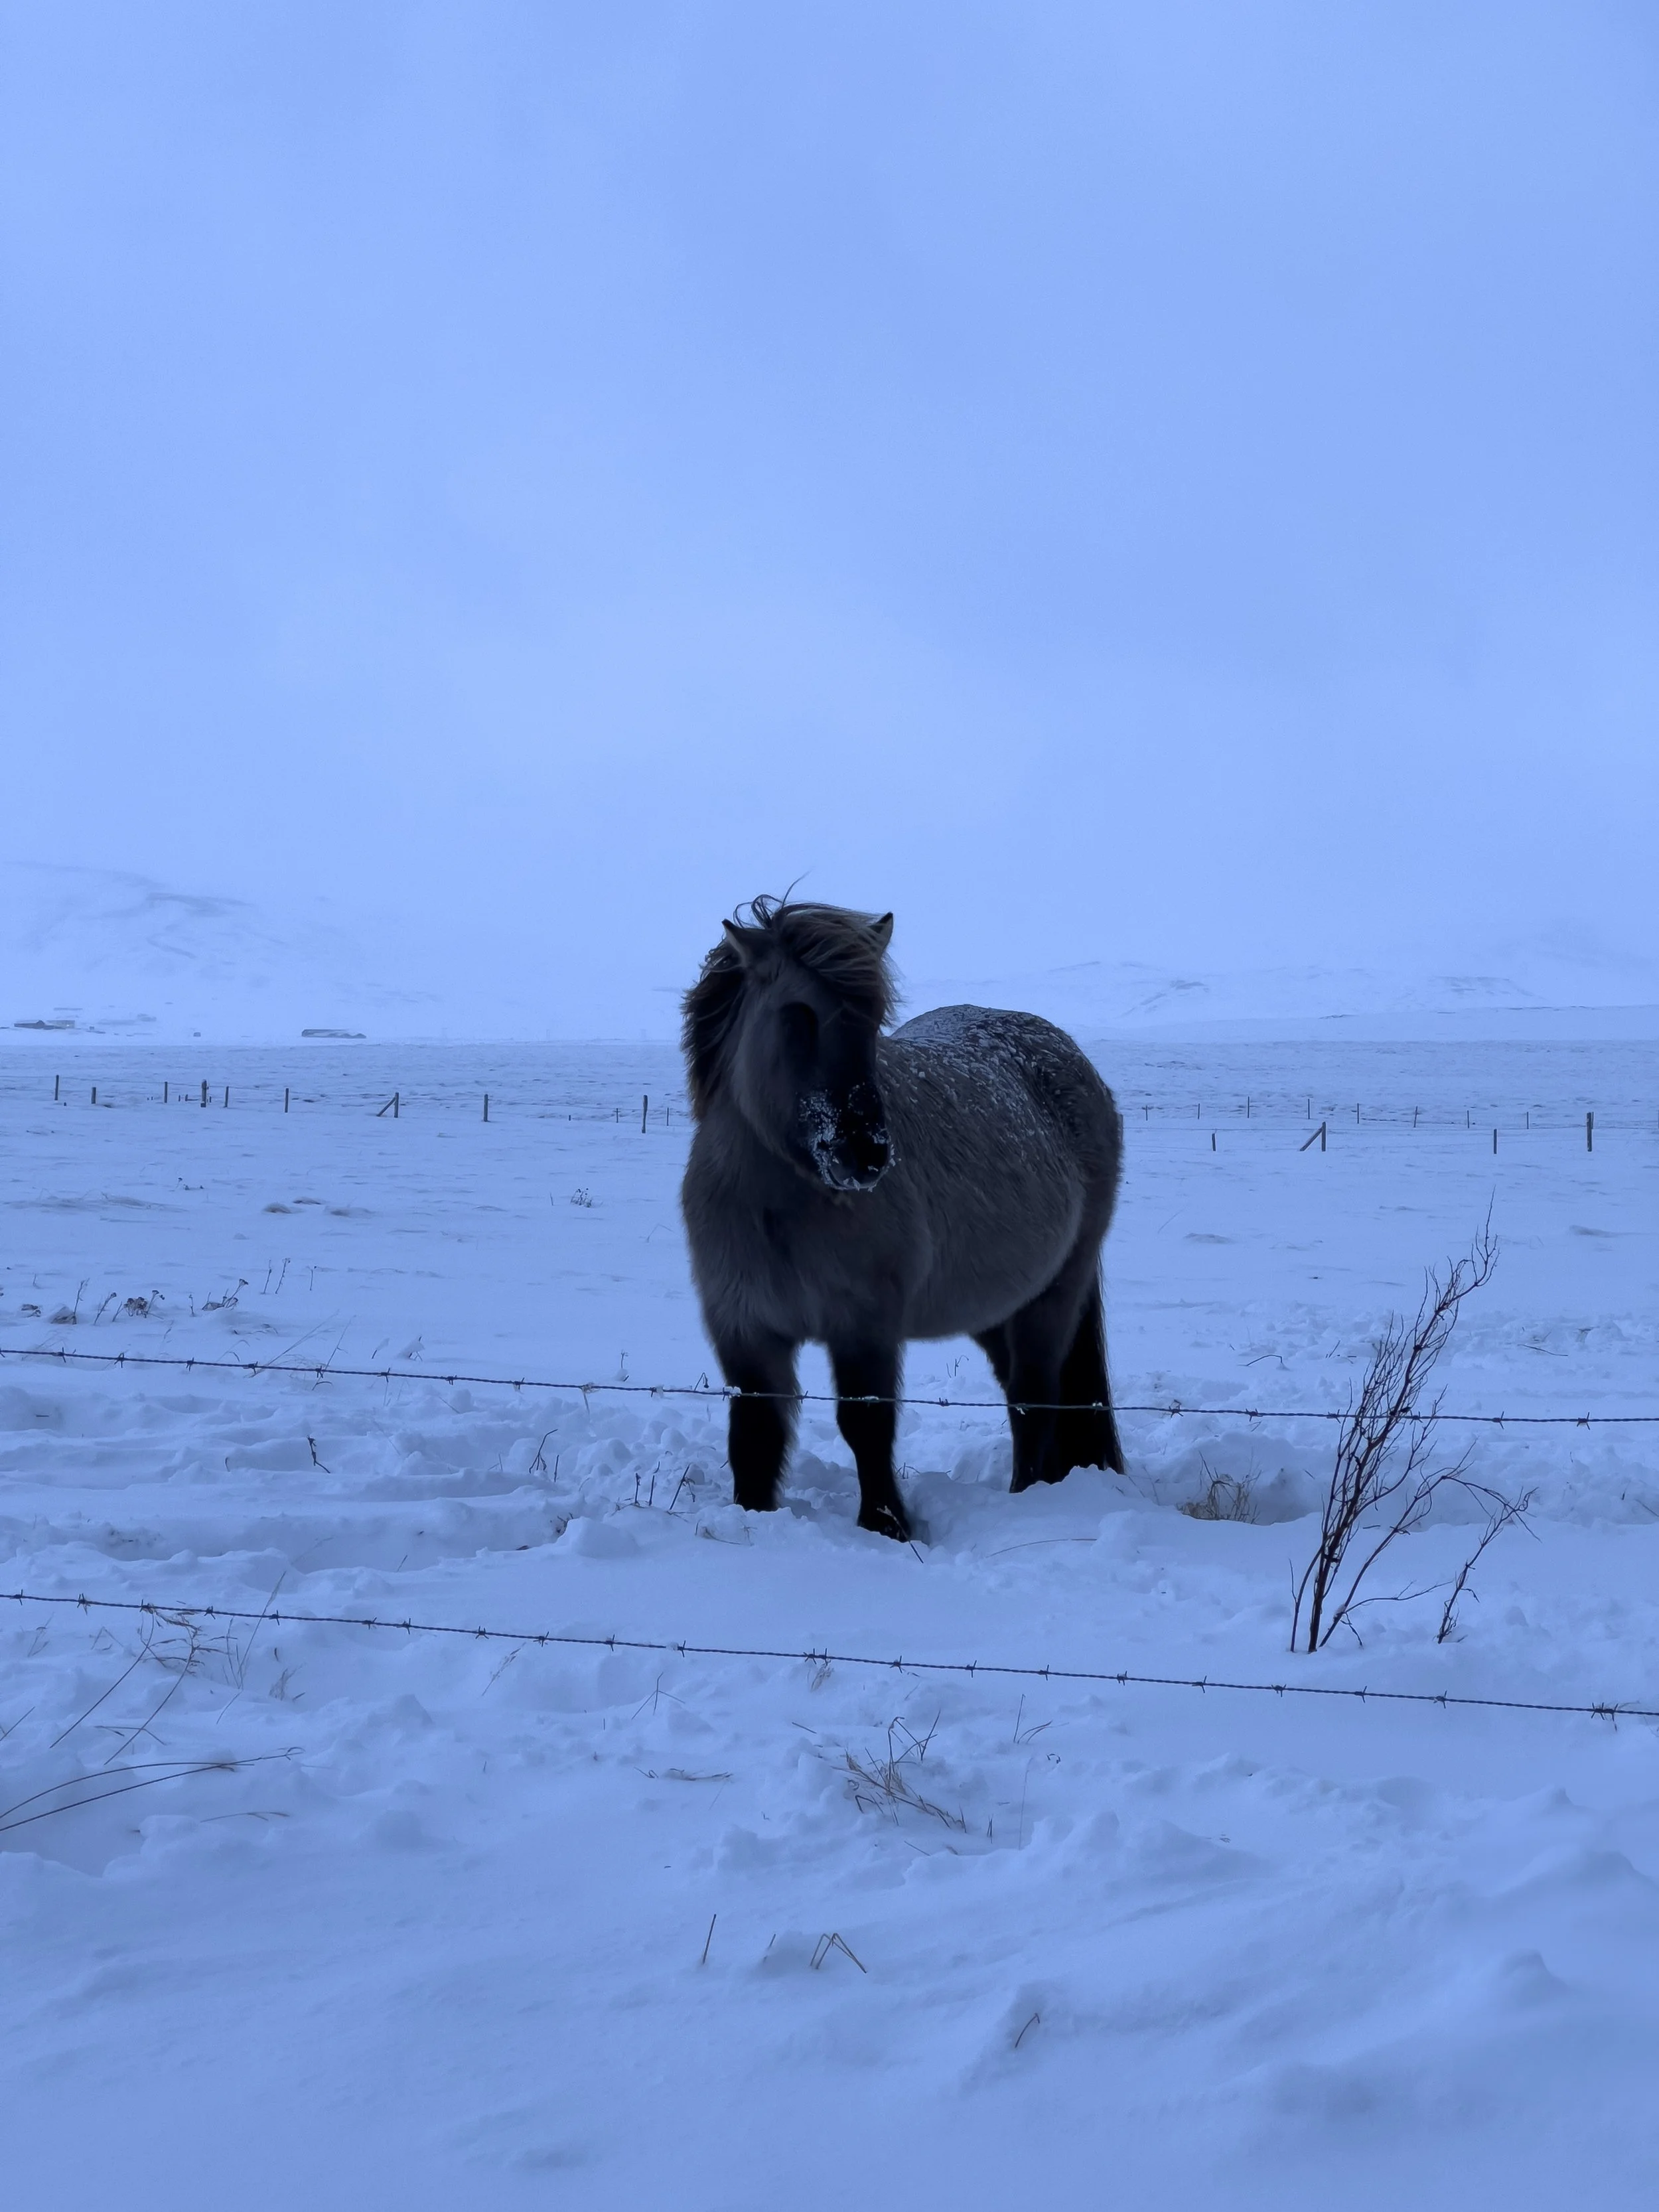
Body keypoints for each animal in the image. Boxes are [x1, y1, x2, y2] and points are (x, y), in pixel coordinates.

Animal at [679, 897, 1125, 1540]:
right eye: (798, 1014)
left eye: (872, 1021)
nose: (866, 1153)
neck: (776, 1211)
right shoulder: (744, 1329)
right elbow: (755, 1438)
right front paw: (752, 1520)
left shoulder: (864, 1326)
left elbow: (866, 1426)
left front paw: (887, 1525)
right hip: (994, 1307)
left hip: (1055, 1294)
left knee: (1034, 1398)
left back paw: (1026, 1501)